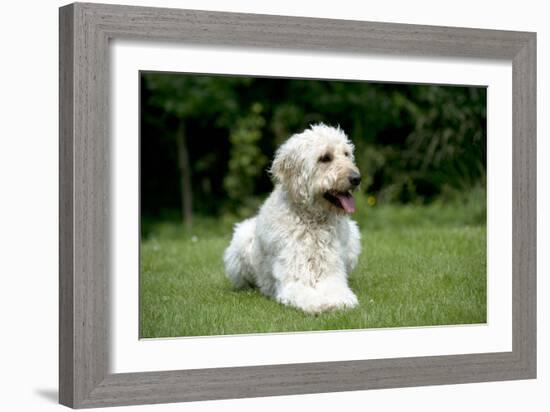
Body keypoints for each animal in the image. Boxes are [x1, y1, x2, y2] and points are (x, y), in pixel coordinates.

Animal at [224, 124, 362, 314]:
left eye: (346, 154)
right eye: (325, 158)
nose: (357, 178)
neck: (312, 220)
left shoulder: (331, 273)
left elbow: (339, 290)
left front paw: (339, 301)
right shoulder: (295, 278)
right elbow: (304, 294)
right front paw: (319, 304)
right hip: (241, 241)